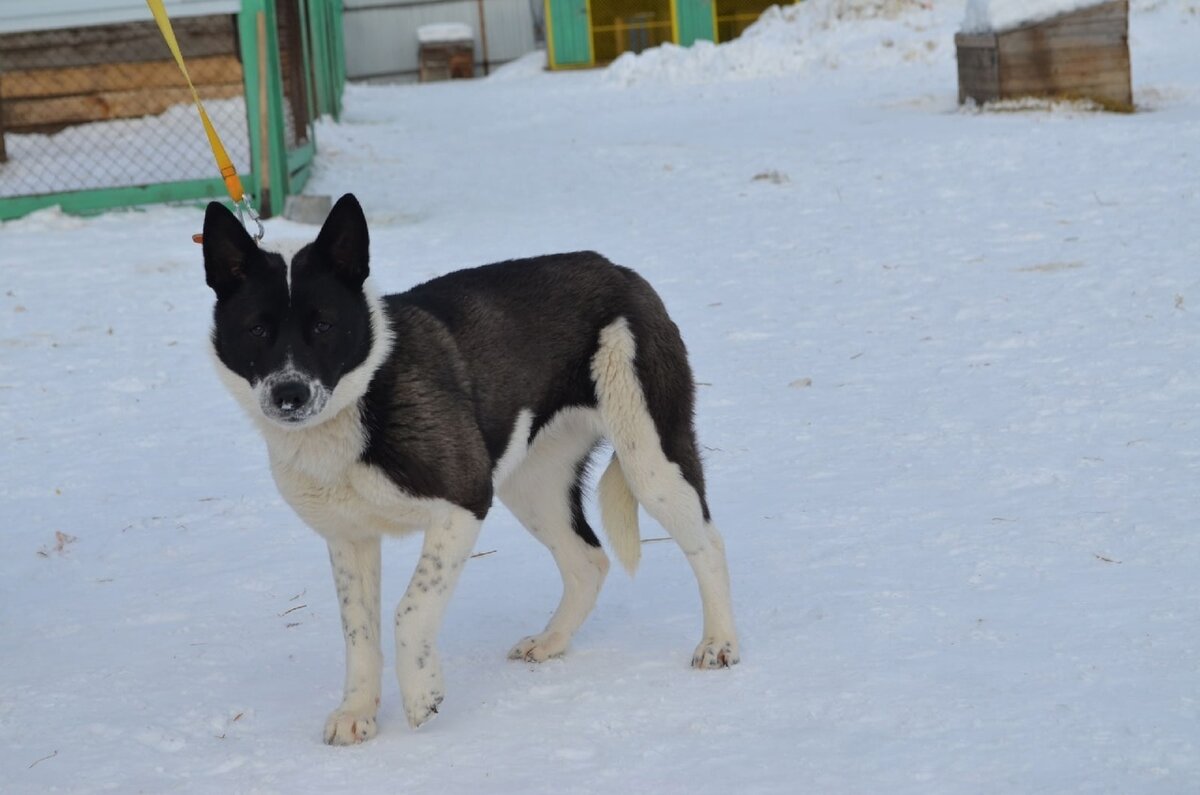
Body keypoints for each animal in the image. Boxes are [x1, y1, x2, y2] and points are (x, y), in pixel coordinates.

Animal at [201, 194, 734, 749]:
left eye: (324, 325)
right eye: (257, 329)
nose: (290, 395)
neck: (364, 394)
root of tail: (618, 270)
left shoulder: (464, 500)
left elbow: (410, 609)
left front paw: (423, 696)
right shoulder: (350, 538)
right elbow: (358, 632)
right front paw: (356, 712)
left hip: (650, 458)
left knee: (707, 543)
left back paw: (718, 642)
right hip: (535, 485)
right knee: (588, 560)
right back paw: (551, 640)